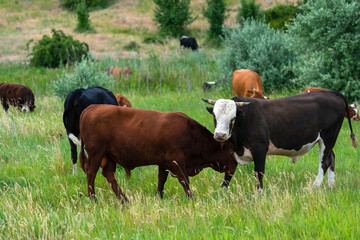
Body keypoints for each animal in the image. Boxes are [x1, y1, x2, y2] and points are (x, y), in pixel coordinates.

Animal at [76, 104, 236, 202]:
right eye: (231, 150)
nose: (234, 167)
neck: (190, 133)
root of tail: (91, 107)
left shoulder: (164, 163)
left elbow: (161, 180)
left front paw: (159, 197)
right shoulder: (177, 161)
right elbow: (185, 180)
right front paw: (192, 199)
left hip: (108, 157)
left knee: (109, 176)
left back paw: (124, 200)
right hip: (96, 154)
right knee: (91, 173)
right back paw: (93, 199)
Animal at [202, 91, 358, 191]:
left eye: (233, 118)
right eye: (214, 116)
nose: (220, 135)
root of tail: (332, 93)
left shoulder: (260, 150)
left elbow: (259, 173)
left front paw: (259, 194)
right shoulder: (233, 152)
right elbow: (228, 173)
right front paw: (223, 193)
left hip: (328, 137)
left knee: (324, 162)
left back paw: (314, 187)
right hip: (327, 141)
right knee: (332, 158)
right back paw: (330, 186)